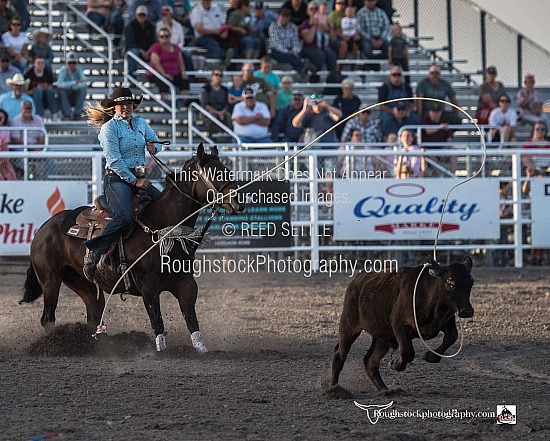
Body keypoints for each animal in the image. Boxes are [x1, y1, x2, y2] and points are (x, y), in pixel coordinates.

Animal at [20, 144, 244, 350]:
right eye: (215, 173)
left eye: (227, 170)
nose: (239, 200)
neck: (163, 228)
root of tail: (43, 229)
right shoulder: (148, 286)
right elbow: (157, 321)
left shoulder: (186, 283)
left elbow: (191, 320)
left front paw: (200, 349)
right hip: (50, 279)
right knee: (48, 318)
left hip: (82, 283)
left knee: (94, 315)